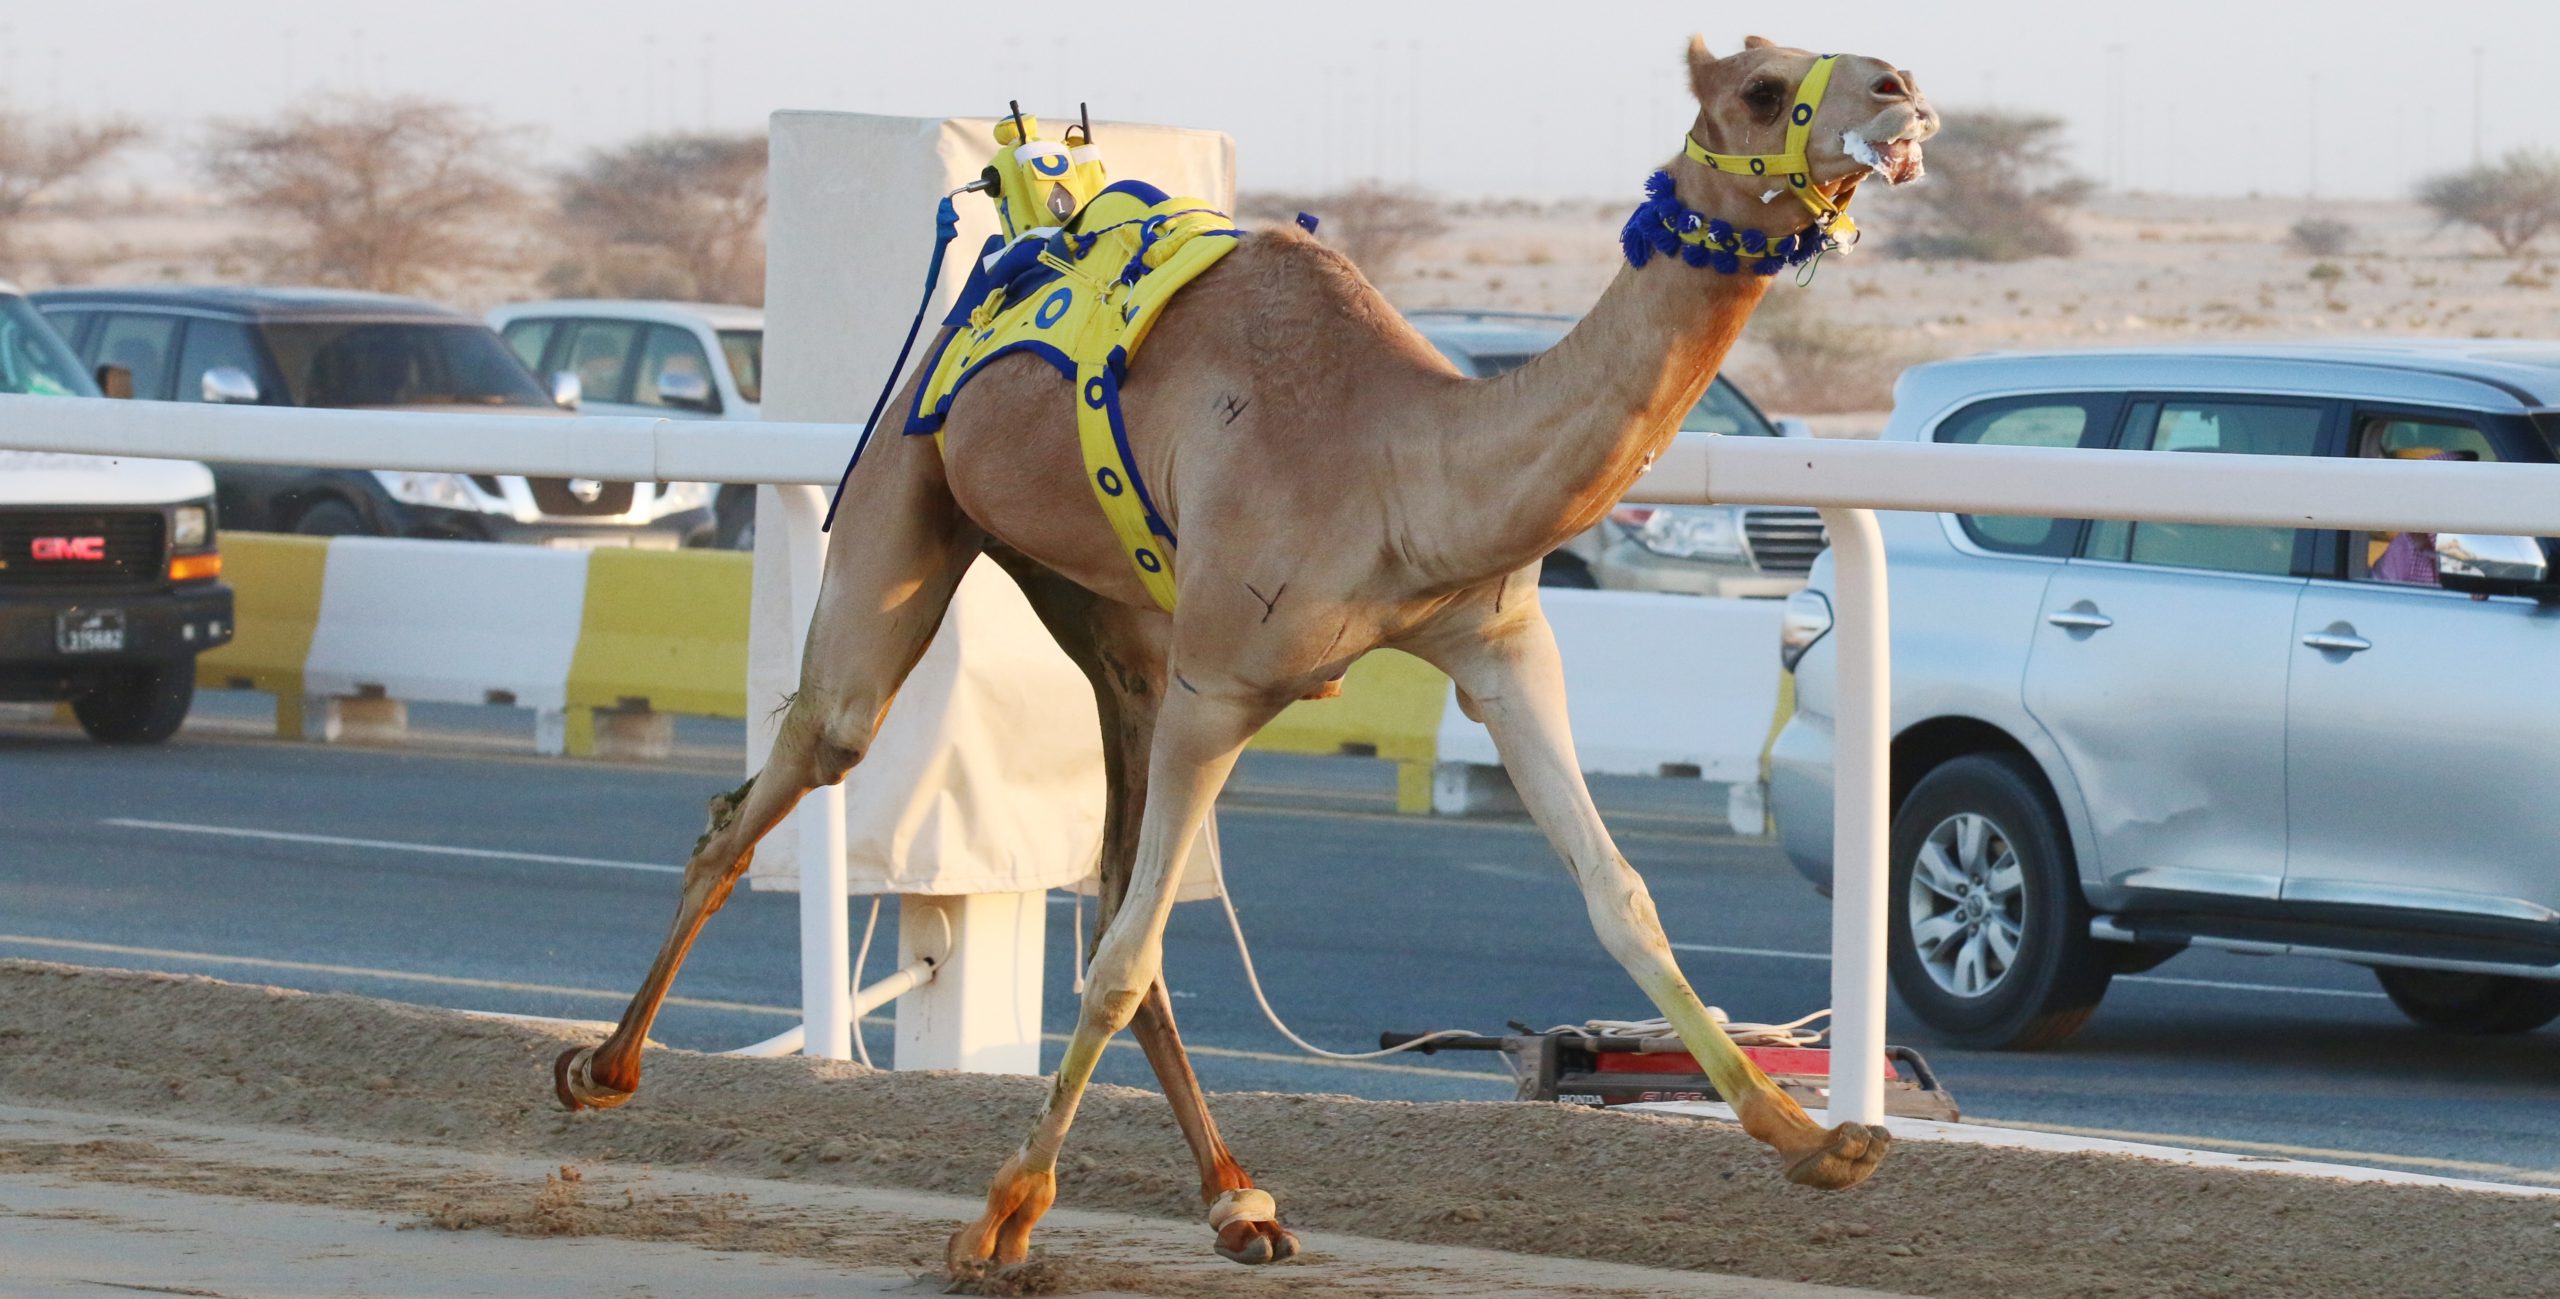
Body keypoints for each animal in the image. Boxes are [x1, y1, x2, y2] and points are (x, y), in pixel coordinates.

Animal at [545, 32, 1935, 1281]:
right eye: (1761, 86)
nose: (1902, 88)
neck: (1401, 463)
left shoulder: (1494, 648)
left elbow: (1621, 895)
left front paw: (1816, 1140)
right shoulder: (1223, 686)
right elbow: (1116, 963)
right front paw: (997, 1220)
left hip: (1117, 621)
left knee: (1112, 874)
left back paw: (1237, 1199)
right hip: (913, 484)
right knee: (803, 763)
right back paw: (599, 1068)